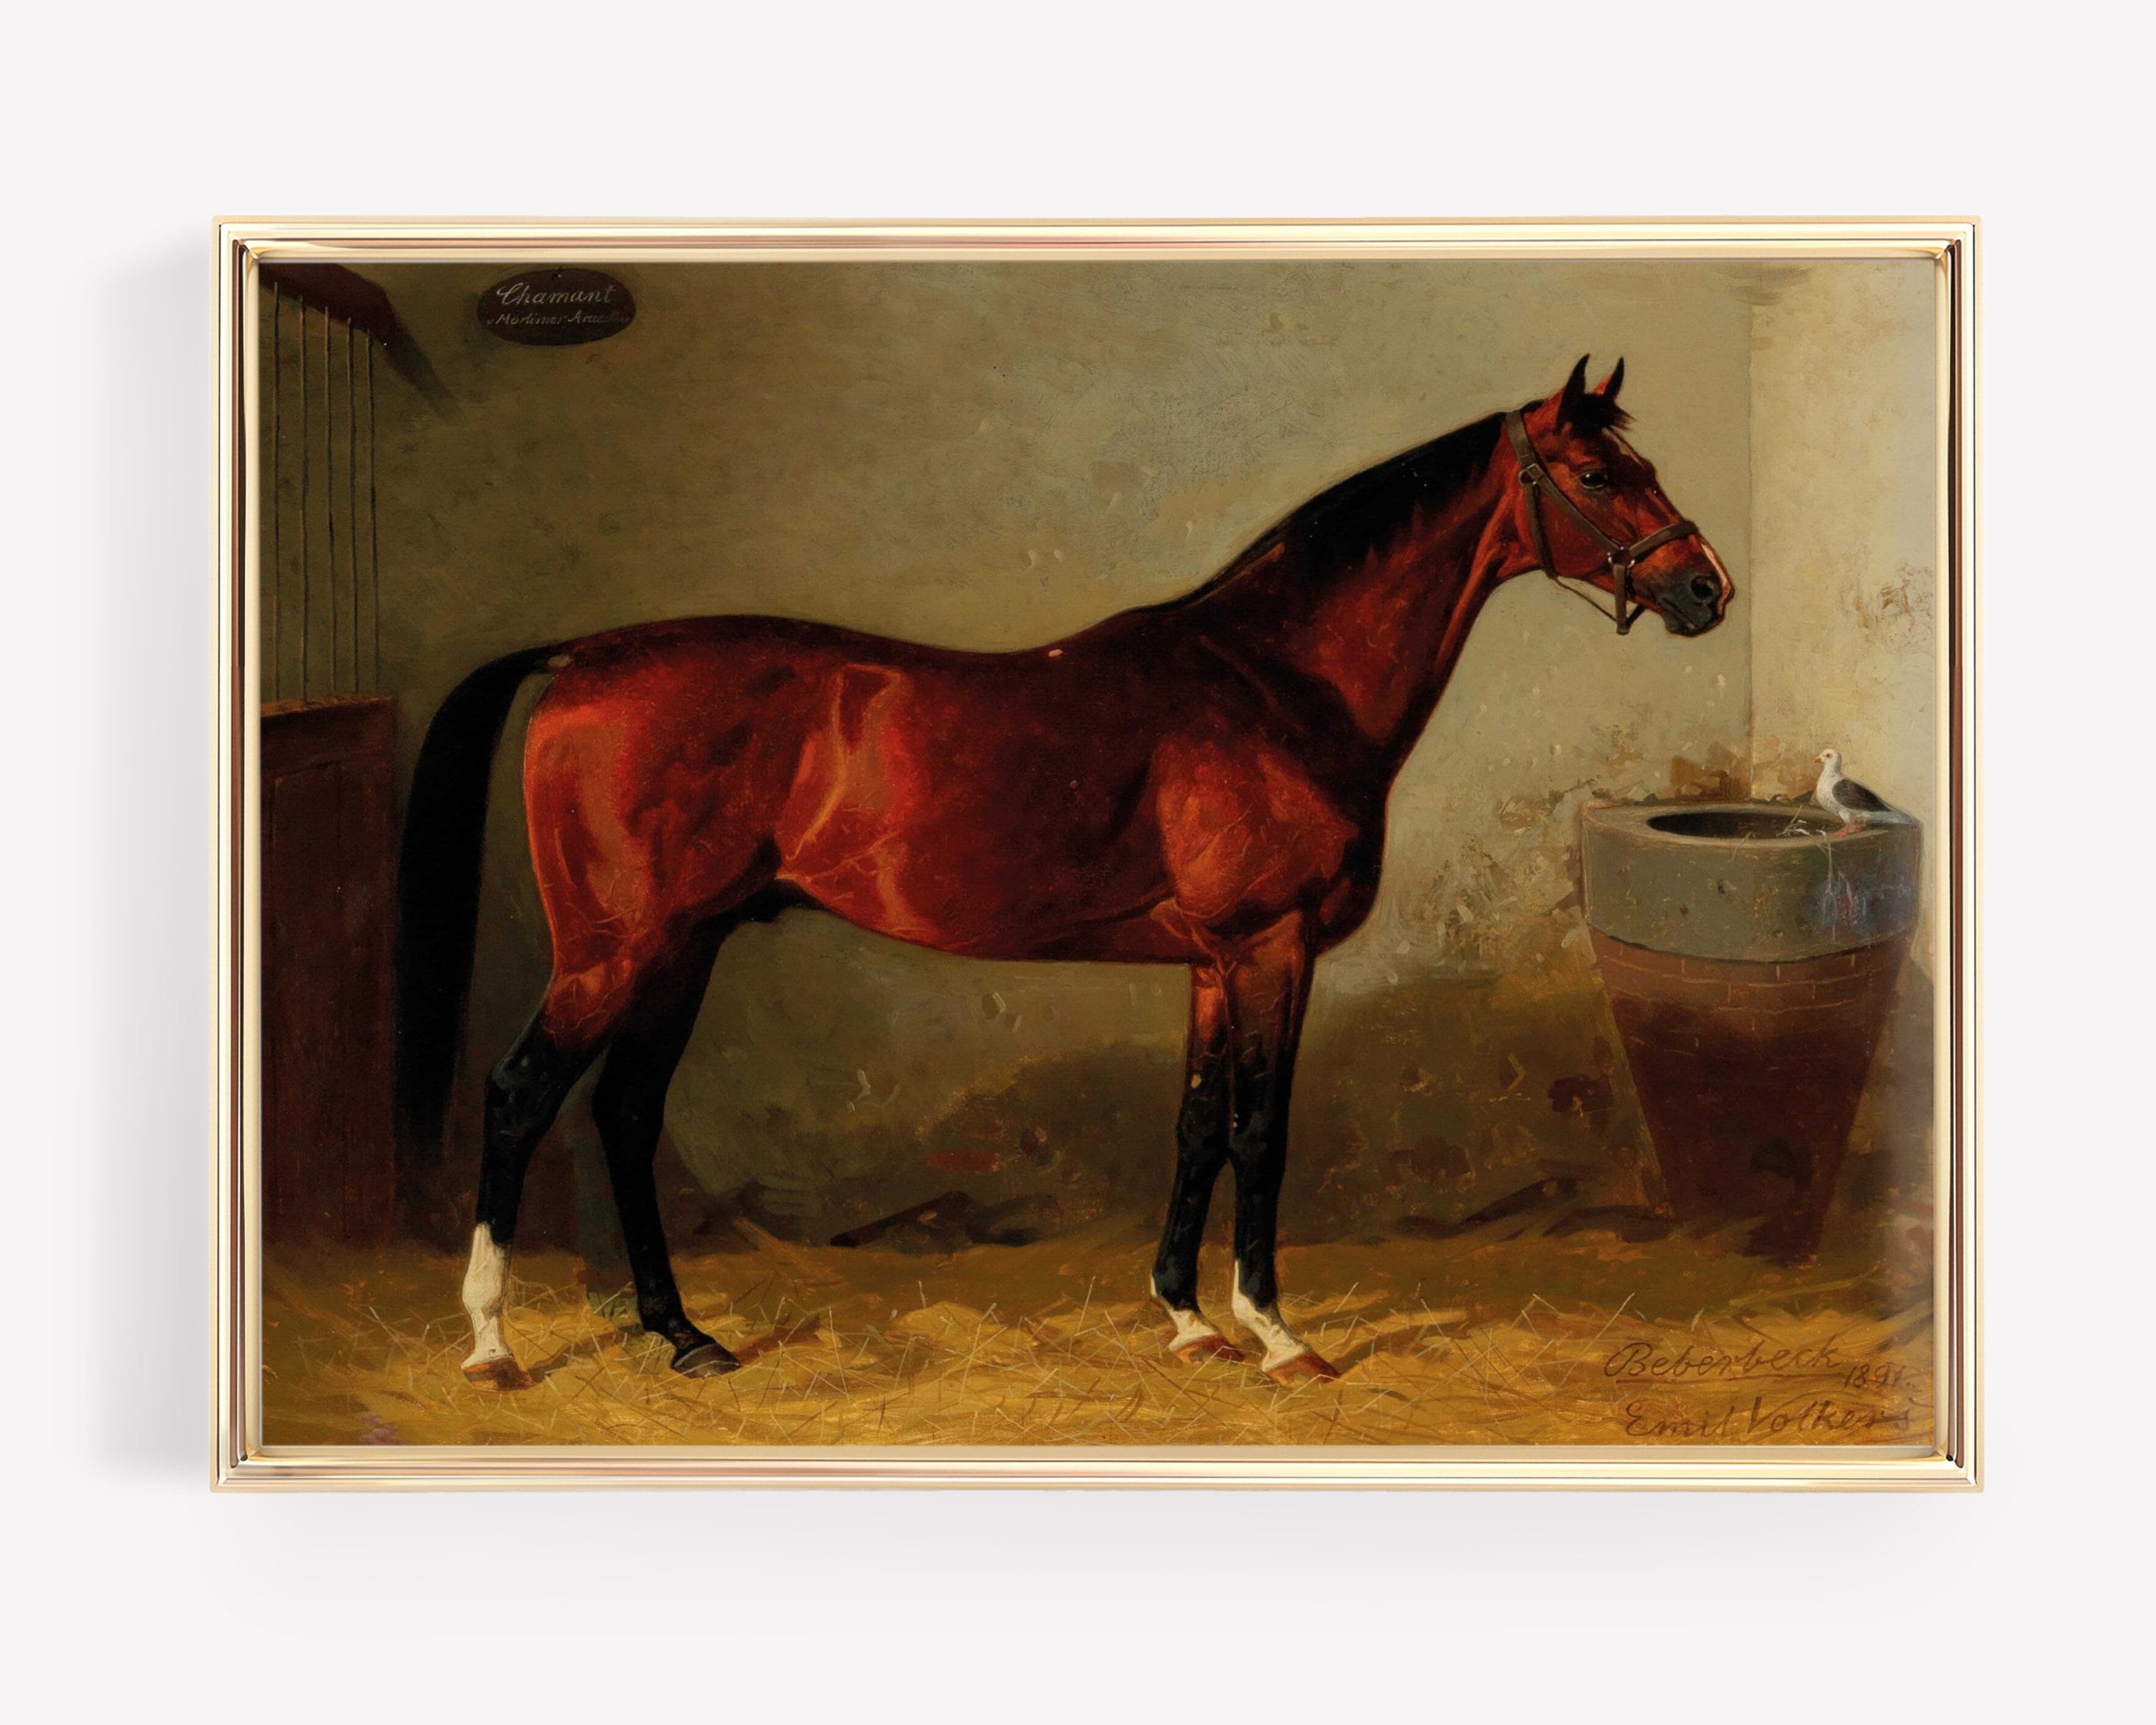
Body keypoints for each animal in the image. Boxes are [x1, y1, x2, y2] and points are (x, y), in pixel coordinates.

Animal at [394, 355, 1732, 1390]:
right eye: (1602, 476)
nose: (1705, 589)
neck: (1275, 681)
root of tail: (585, 655)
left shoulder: (1213, 961)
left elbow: (1195, 1126)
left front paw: (1189, 1321)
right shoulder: (1271, 944)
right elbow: (1261, 1130)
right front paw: (1279, 1337)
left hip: (685, 947)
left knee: (623, 1113)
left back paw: (684, 1338)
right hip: (614, 952)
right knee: (519, 1097)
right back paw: (493, 1346)